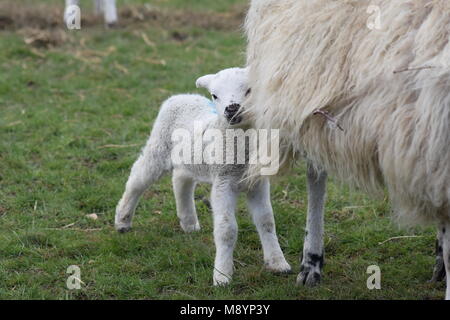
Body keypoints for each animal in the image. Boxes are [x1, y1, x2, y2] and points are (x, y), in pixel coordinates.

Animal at [113, 67, 292, 284]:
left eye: (249, 89)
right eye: (214, 95)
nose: (231, 109)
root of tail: (181, 96)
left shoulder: (257, 182)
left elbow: (266, 221)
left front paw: (278, 263)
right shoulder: (223, 181)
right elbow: (226, 230)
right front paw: (222, 276)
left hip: (188, 156)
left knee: (181, 178)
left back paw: (188, 222)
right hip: (159, 145)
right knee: (137, 179)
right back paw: (122, 221)